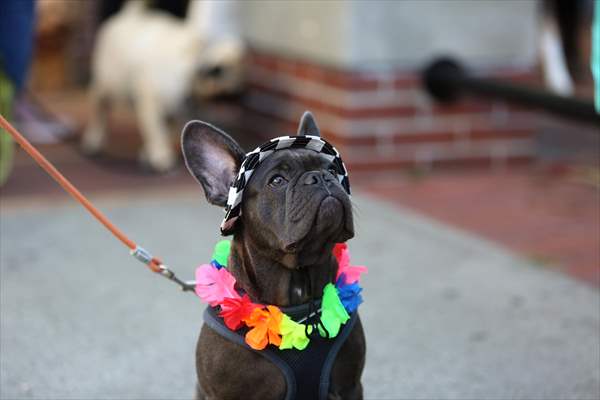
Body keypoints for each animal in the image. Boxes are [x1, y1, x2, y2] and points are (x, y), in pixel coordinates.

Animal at [83, 0, 245, 172]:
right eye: (226, 91)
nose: (240, 95)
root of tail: (130, 15)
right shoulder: (151, 105)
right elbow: (156, 132)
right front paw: (160, 155)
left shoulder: (171, 111)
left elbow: (163, 131)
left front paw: (150, 153)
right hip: (107, 85)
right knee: (100, 110)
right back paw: (94, 140)